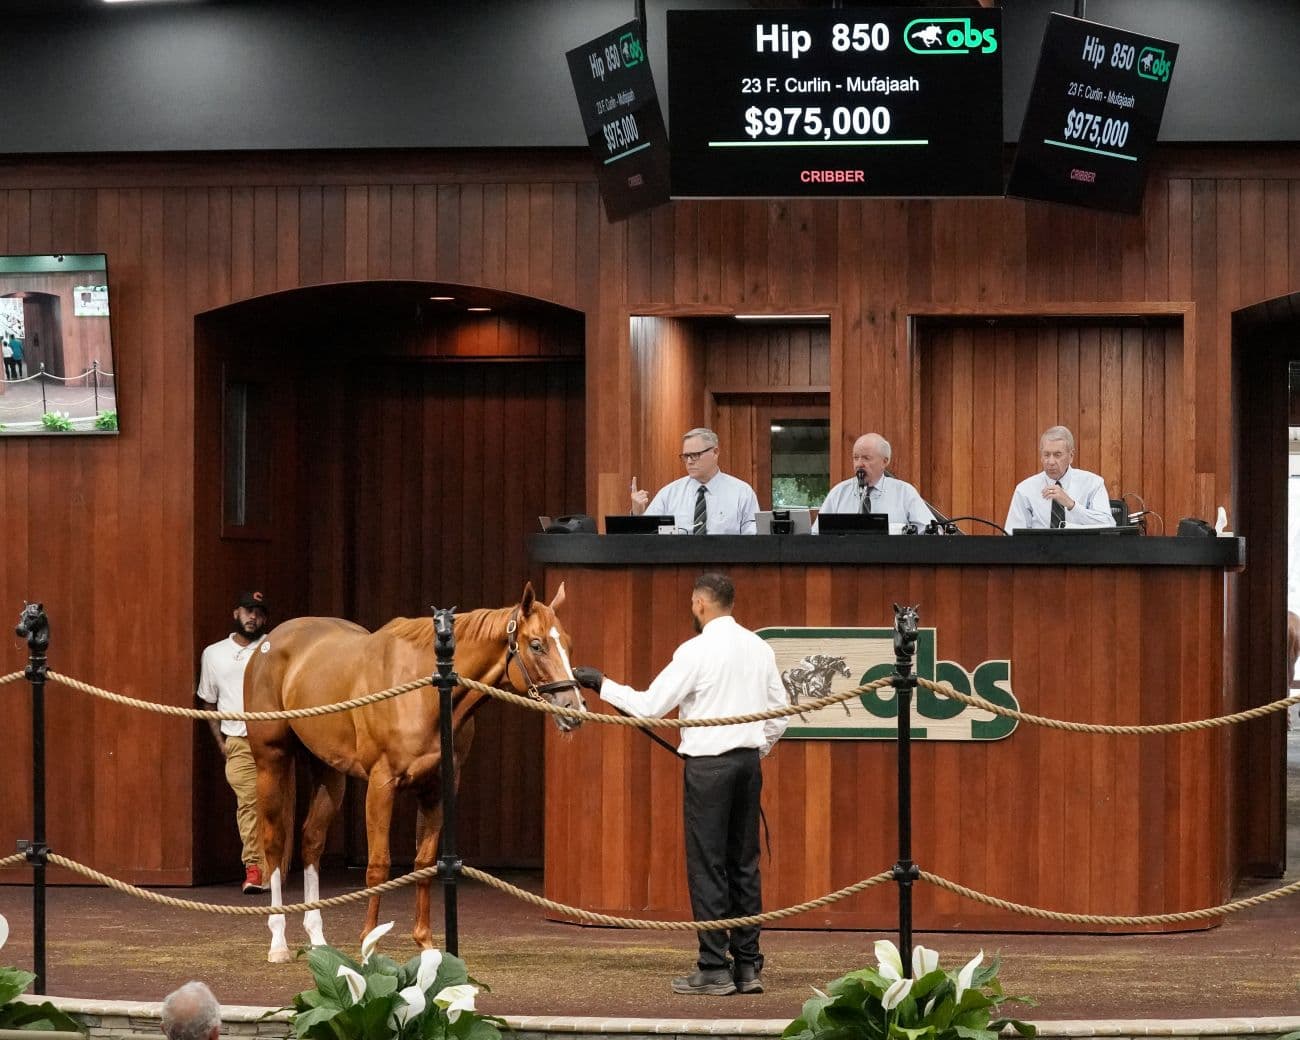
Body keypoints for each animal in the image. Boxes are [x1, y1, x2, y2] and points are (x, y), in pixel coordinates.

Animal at [243, 582, 585, 963]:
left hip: (328, 772)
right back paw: (278, 942)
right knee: (274, 843)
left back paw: (318, 941)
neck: (425, 690)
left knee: (311, 841)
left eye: (568, 644)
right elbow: (378, 865)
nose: (574, 709)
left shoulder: (437, 789)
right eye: (537, 644)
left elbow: (424, 863)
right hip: (271, 761)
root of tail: (270, 642)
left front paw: (426, 944)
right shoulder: (381, 785)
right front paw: (369, 943)